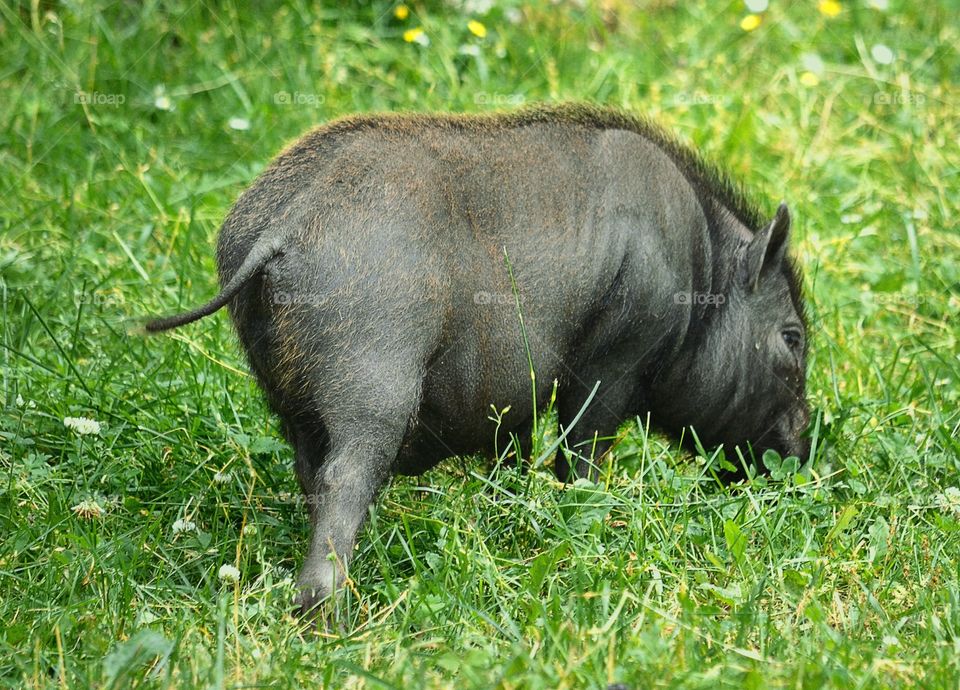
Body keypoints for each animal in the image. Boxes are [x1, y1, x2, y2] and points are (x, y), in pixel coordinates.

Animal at [145, 103, 809, 613]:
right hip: (374, 378)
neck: (701, 271)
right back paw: (329, 614)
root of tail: (282, 228)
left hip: (287, 393)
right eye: (793, 337)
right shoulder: (612, 363)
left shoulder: (512, 394)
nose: (805, 450)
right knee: (344, 478)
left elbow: (514, 453)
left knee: (311, 471)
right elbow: (582, 452)